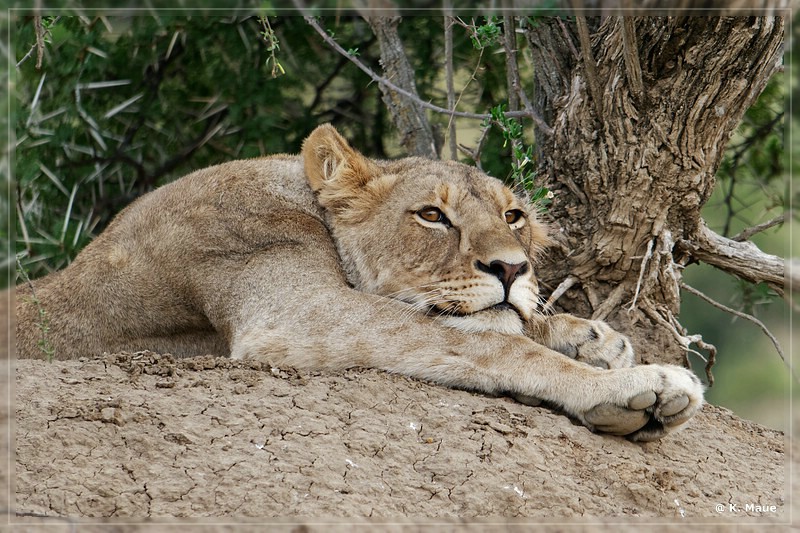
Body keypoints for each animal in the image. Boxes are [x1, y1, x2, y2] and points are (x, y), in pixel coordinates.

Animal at [15, 123, 704, 440]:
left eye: (514, 216)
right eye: (432, 215)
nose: (512, 267)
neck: (305, 201)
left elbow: (508, 329)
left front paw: (595, 339)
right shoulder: (293, 314)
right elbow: (488, 342)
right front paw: (631, 386)